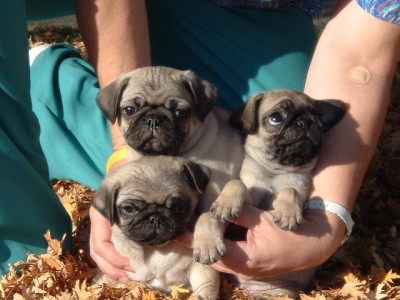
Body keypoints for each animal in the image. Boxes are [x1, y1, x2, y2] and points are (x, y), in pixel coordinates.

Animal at [92, 156, 220, 298]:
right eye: (129, 209)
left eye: (181, 209)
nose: (155, 218)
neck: (155, 250)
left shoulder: (201, 269)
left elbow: (205, 289)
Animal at [97, 66, 244, 264]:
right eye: (129, 110)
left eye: (180, 112)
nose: (153, 119)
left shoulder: (212, 196)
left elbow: (207, 216)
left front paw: (208, 244)